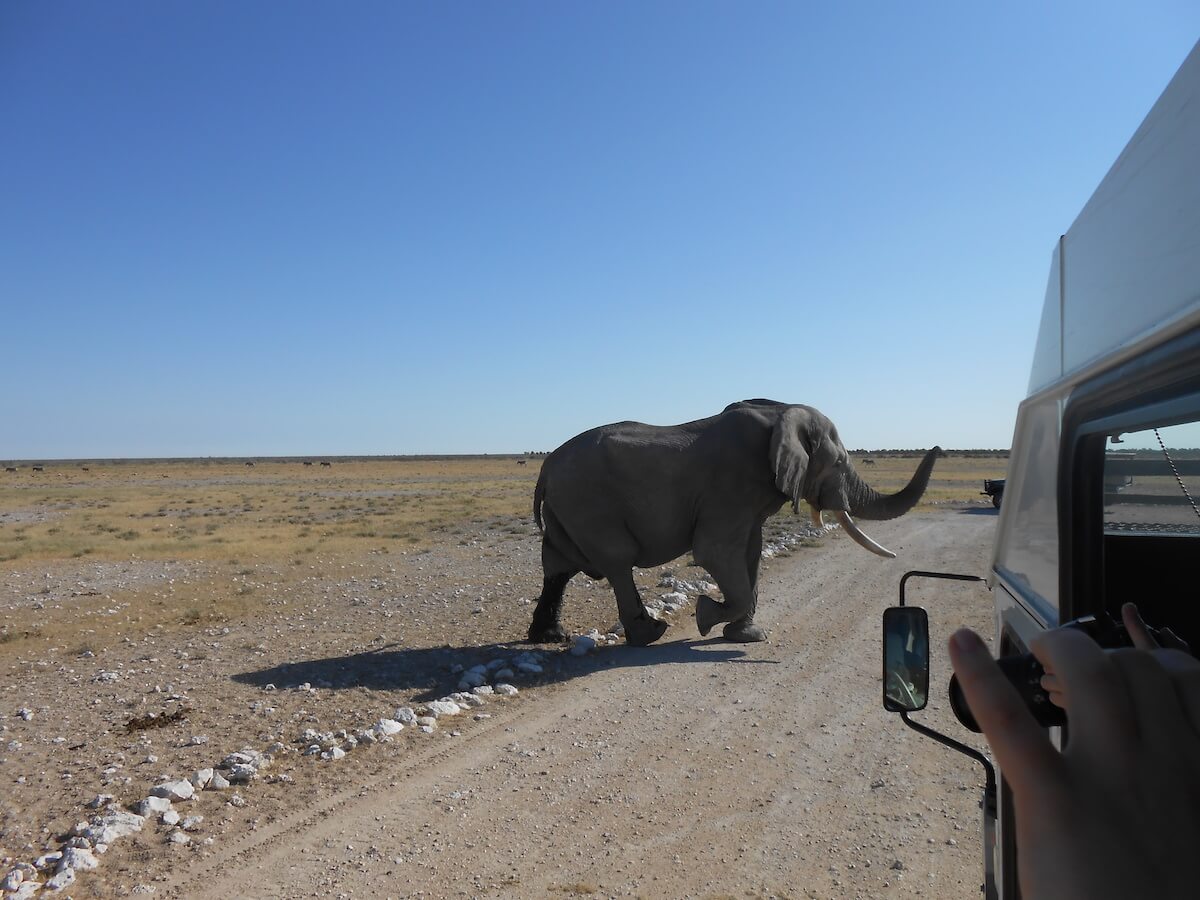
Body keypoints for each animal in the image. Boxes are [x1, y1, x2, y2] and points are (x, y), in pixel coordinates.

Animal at [530, 400, 940, 648]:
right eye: (839, 463)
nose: (937, 446)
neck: (782, 412)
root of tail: (546, 468)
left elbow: (751, 554)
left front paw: (746, 635)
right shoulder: (729, 486)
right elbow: (714, 552)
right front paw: (704, 615)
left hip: (567, 509)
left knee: (558, 564)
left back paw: (550, 636)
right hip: (588, 503)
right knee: (616, 560)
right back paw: (651, 633)